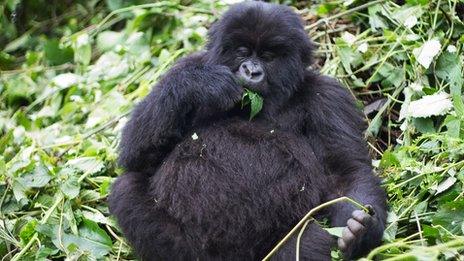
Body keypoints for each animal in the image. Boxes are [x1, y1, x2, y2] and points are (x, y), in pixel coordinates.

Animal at [109, 1, 388, 258]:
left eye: (268, 56)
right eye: (242, 52)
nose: (251, 71)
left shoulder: (329, 97)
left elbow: (346, 171)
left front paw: (360, 233)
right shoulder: (182, 67)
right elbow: (136, 153)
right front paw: (201, 82)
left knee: (307, 244)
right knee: (126, 186)